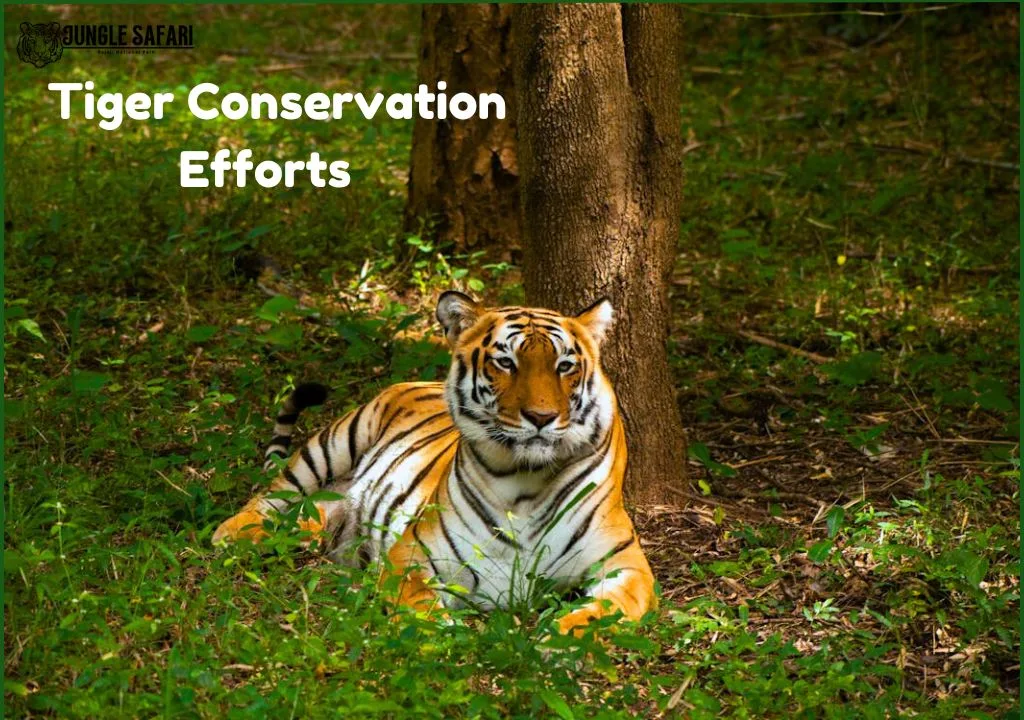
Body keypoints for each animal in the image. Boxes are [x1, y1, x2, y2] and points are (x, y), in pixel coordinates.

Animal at [212, 291, 656, 634]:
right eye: (505, 363)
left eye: (565, 366)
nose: (541, 417)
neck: (526, 483)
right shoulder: (411, 556)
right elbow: (422, 609)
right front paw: (449, 635)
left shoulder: (627, 565)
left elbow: (602, 613)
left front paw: (558, 643)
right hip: (340, 437)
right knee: (274, 491)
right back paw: (236, 534)